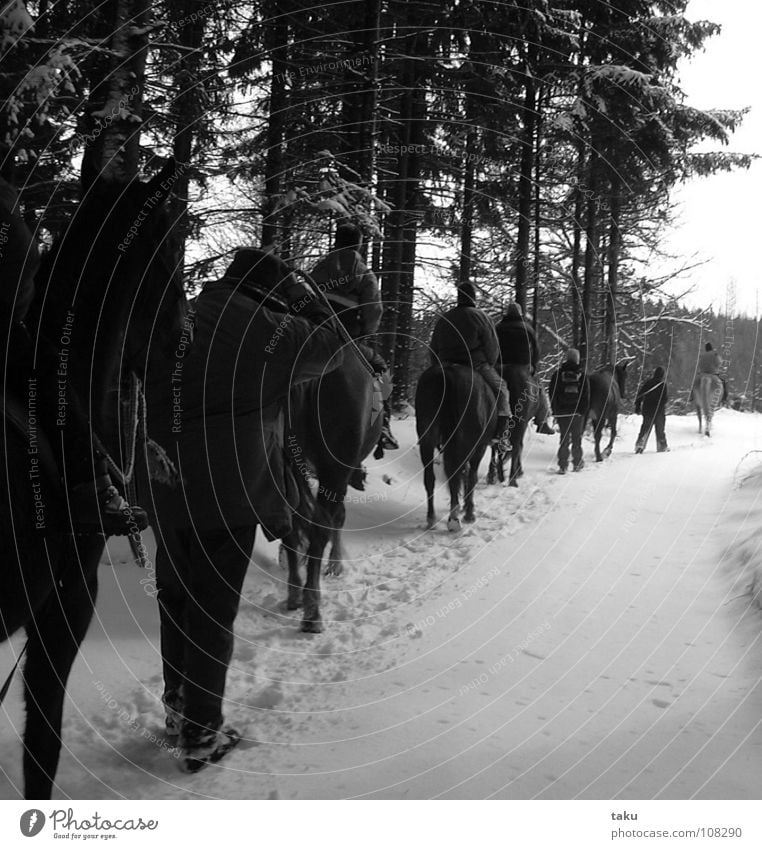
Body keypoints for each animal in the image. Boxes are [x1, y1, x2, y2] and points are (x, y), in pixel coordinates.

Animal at [282, 316, 382, 628]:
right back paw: (312, 609)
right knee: (321, 525)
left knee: (292, 525)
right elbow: (338, 517)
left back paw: (294, 593)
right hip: (335, 469)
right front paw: (336, 564)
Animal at [412, 362, 496, 528]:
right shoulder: (479, 448)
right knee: (457, 475)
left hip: (427, 440)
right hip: (465, 443)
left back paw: (432, 518)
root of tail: (447, 374)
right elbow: (471, 477)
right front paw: (469, 513)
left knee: (430, 477)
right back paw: (455, 519)